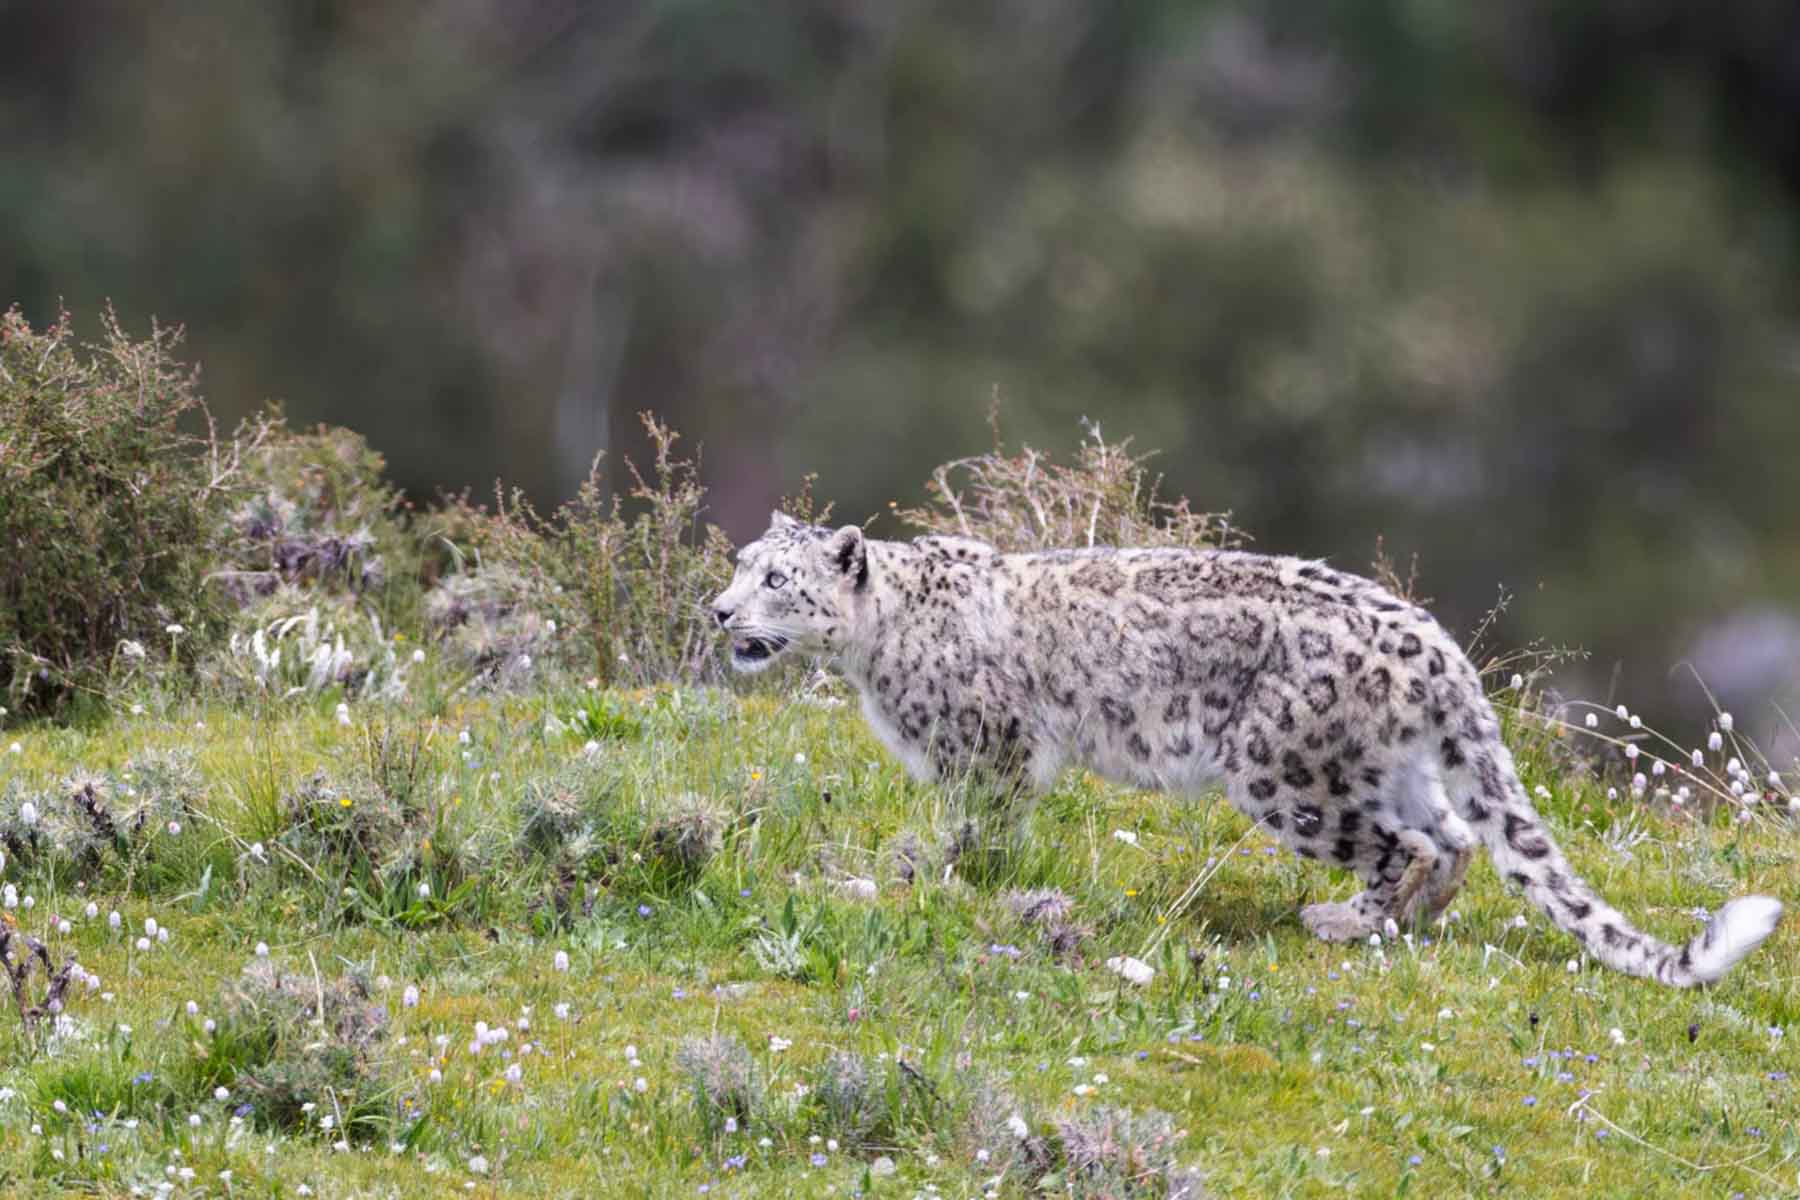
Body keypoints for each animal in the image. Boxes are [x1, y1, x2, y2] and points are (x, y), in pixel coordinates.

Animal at [711, 511, 1783, 987]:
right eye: (738, 565)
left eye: (776, 578)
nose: (717, 609)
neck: (870, 657)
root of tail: (1439, 648)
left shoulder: (989, 750)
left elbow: (976, 830)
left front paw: (937, 874)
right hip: (1383, 766)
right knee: (1455, 837)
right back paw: (1408, 923)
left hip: (1283, 773)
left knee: (1408, 843)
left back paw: (1345, 922)